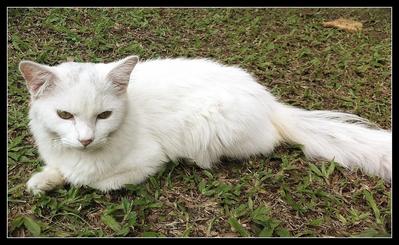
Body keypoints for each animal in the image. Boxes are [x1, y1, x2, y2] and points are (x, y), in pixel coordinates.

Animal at [17, 56, 392, 195]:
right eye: (65, 115)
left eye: (104, 116)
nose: (85, 140)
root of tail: (268, 101)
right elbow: (56, 170)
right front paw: (43, 181)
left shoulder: (149, 159)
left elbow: (93, 181)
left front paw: (72, 177)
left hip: (209, 126)